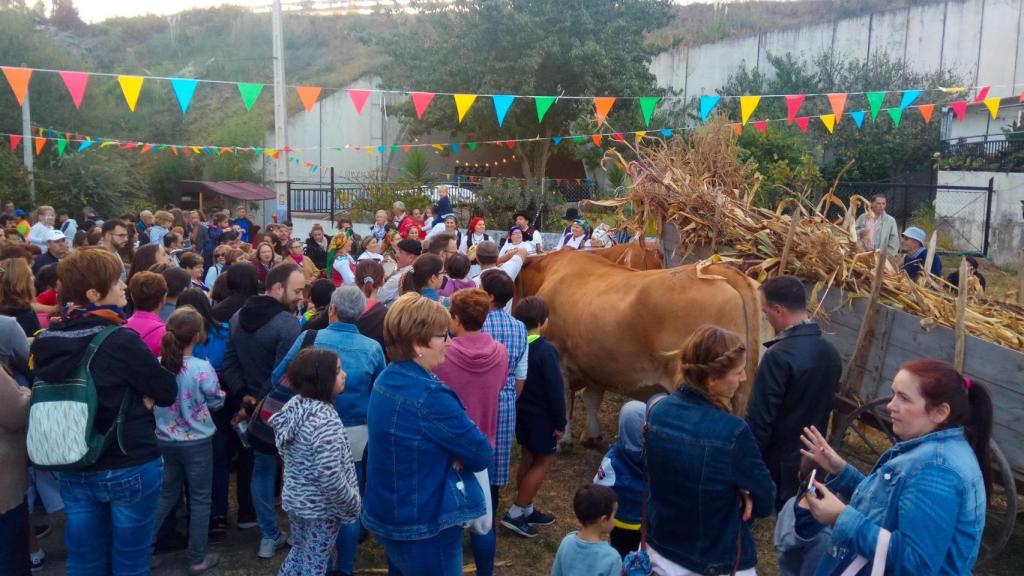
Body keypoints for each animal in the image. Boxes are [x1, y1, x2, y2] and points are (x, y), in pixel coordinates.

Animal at [520, 245, 761, 444]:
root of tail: (715, 268)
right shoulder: (595, 360)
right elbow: (592, 398)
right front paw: (592, 435)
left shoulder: (559, 355)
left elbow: (561, 397)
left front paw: (563, 440)